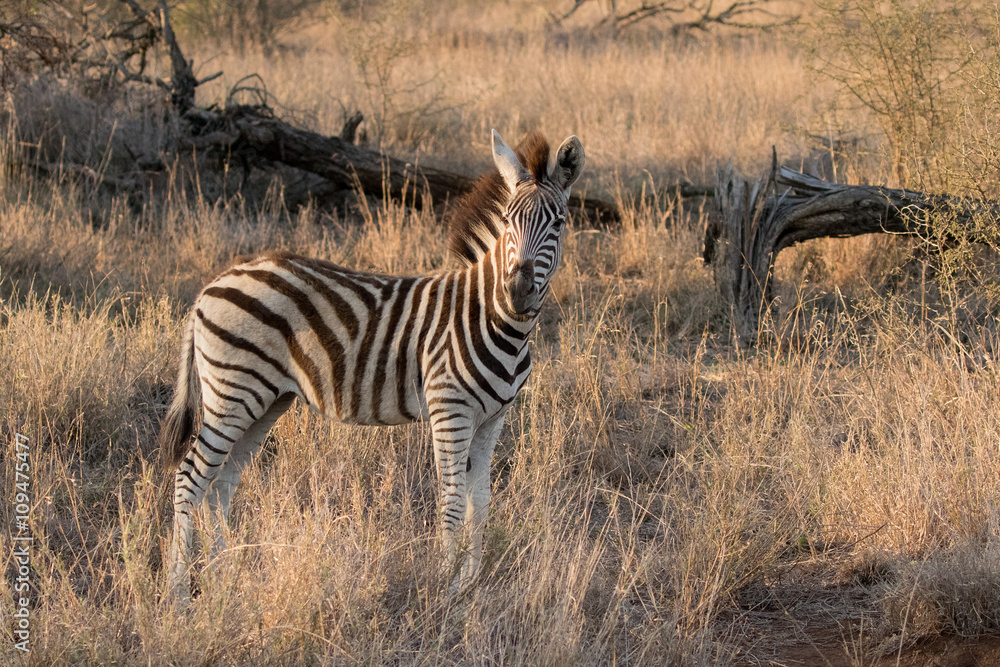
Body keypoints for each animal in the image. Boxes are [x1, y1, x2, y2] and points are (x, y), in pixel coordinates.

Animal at [159, 129, 585, 601]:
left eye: (558, 223)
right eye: (509, 221)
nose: (519, 291)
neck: (495, 319)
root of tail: (214, 283)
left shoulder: (493, 418)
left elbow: (482, 502)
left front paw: (471, 586)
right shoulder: (450, 411)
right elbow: (453, 501)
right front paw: (444, 588)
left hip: (265, 401)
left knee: (219, 485)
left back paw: (225, 580)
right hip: (231, 394)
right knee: (189, 479)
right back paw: (179, 594)